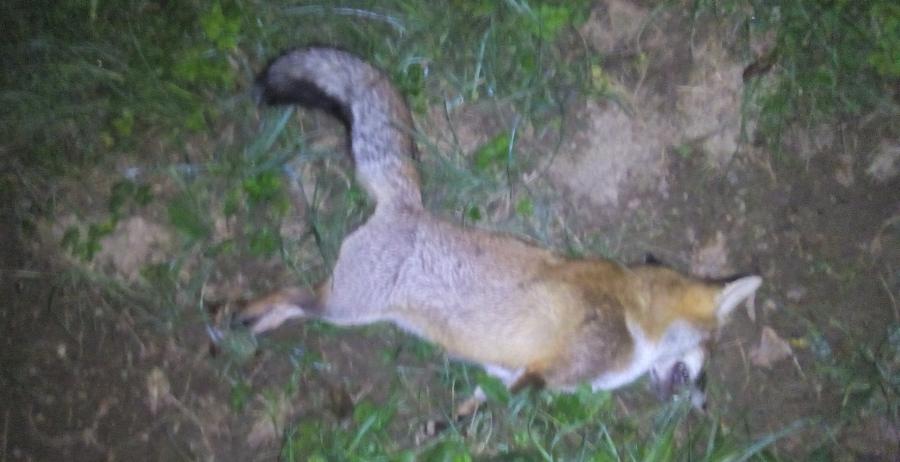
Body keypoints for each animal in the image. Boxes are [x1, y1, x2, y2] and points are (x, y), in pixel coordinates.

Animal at [239, 47, 762, 412]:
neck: (636, 319)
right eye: (709, 354)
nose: (703, 407)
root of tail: (407, 207)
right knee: (292, 296)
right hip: (347, 308)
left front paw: (452, 422)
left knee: (296, 301)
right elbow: (517, 395)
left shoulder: (513, 372)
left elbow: (486, 398)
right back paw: (247, 314)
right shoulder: (547, 368)